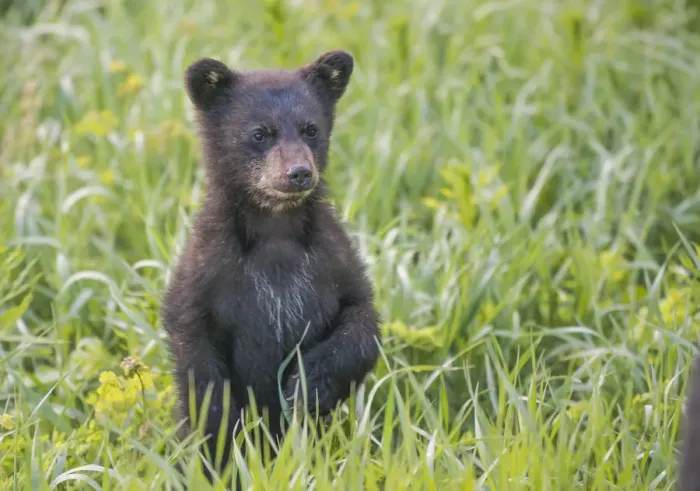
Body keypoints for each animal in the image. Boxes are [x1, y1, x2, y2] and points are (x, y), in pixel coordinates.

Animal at [161, 50, 381, 477]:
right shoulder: (208, 271)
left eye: (310, 129)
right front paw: (221, 441)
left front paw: (306, 386)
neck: (275, 229)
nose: (299, 173)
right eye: (260, 133)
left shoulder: (331, 260)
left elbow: (361, 322)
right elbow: (196, 356)